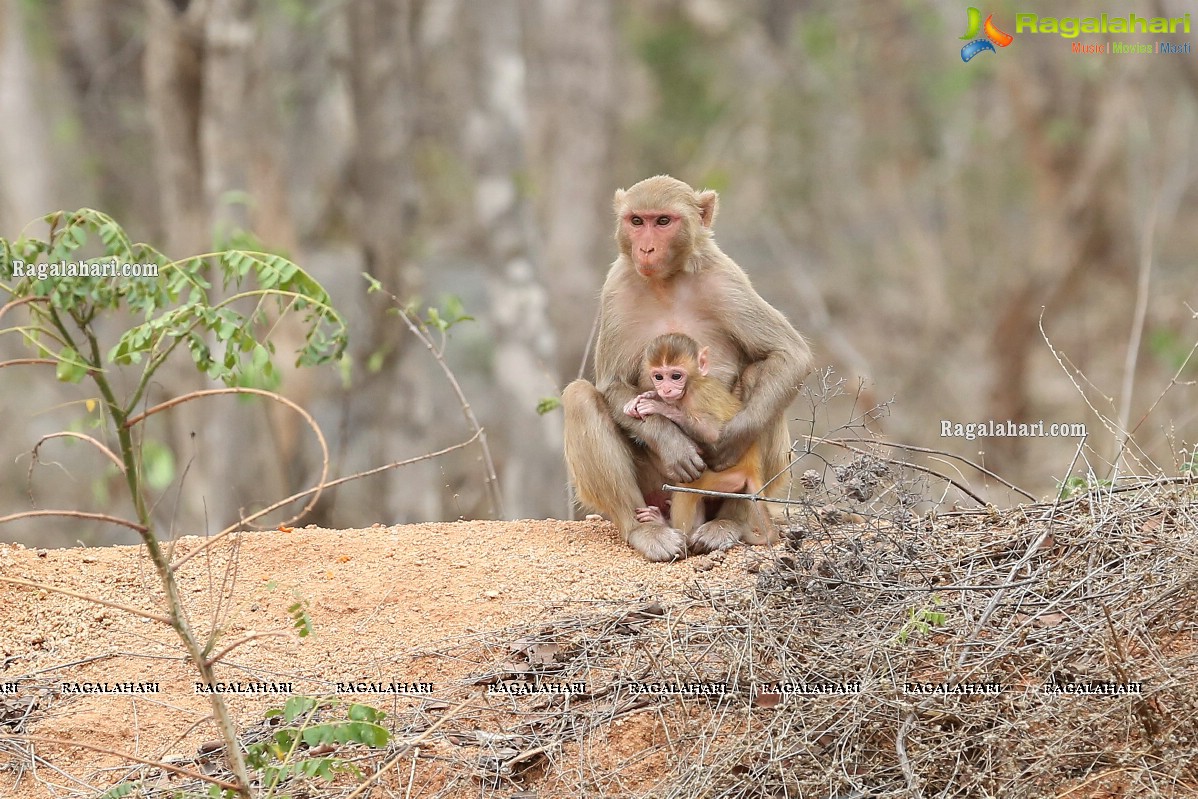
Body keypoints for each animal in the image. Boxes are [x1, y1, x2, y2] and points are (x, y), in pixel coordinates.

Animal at [622, 330, 781, 543]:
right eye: (659, 376)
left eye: (676, 376)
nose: (665, 389)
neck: (691, 384)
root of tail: (752, 469)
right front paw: (642, 398)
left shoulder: (696, 396)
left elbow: (713, 433)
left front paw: (660, 407)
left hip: (725, 477)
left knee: (688, 488)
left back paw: (674, 528)